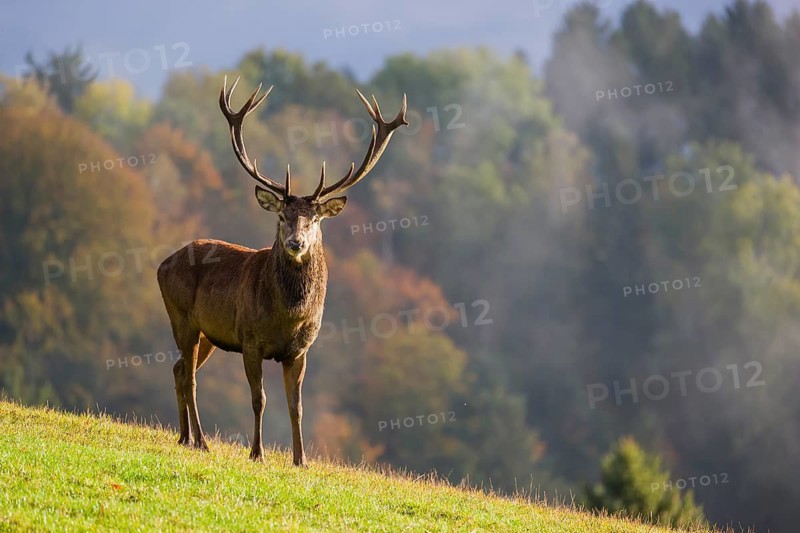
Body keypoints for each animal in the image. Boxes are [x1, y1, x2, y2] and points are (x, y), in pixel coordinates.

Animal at [157, 76, 407, 465]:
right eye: (281, 216)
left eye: (314, 219)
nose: (296, 243)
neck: (288, 315)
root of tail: (162, 264)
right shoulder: (250, 339)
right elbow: (259, 400)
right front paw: (257, 452)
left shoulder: (300, 350)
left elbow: (296, 406)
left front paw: (300, 459)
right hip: (181, 316)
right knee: (190, 377)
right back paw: (200, 440)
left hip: (208, 333)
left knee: (180, 369)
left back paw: (184, 437)